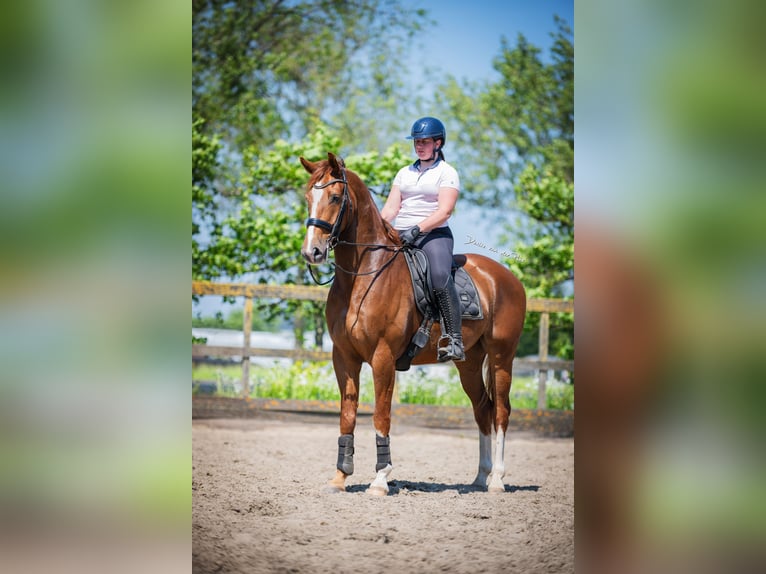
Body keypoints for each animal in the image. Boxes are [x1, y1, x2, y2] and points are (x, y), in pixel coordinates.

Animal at [302, 152, 528, 496]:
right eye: (307, 198)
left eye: (336, 197)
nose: (312, 252)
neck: (364, 276)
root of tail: (506, 277)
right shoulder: (343, 357)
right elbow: (348, 415)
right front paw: (340, 477)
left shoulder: (382, 357)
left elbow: (381, 415)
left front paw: (380, 479)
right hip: (470, 363)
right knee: (482, 408)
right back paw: (480, 477)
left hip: (502, 357)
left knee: (501, 411)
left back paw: (498, 480)